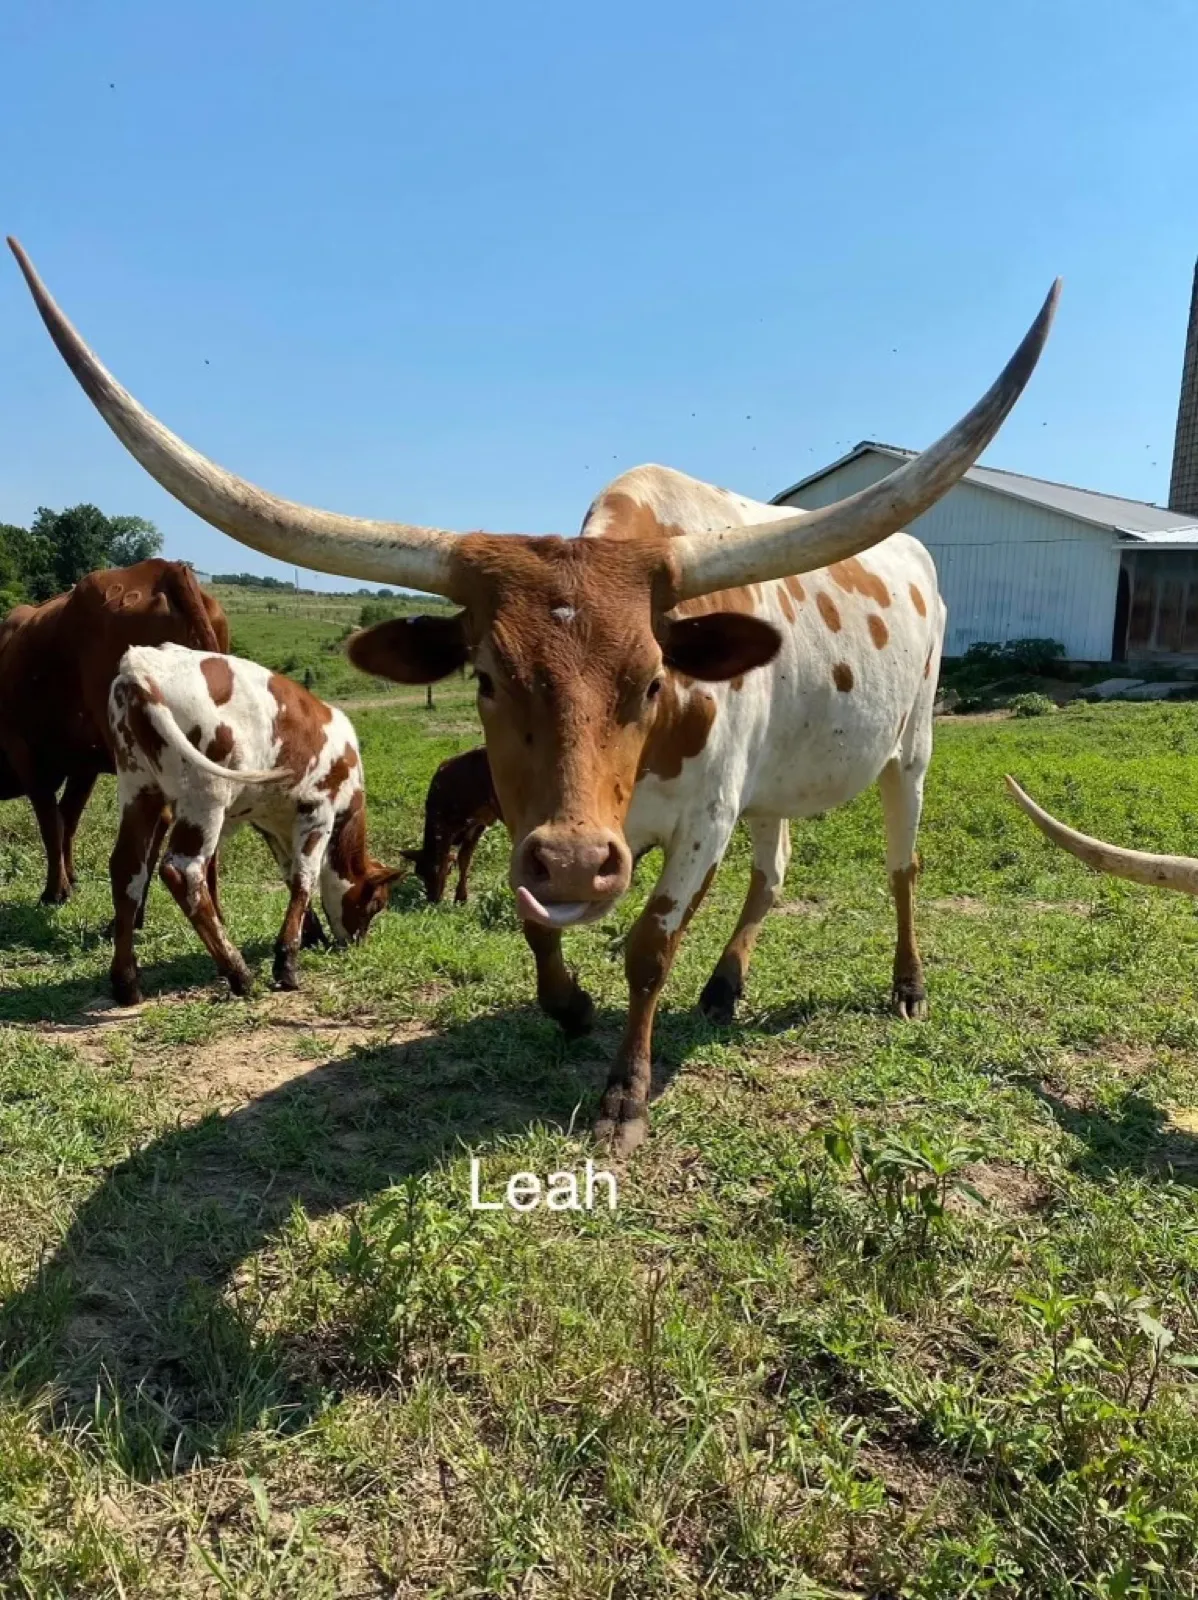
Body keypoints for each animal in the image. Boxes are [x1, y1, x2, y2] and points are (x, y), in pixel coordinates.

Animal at [0, 556, 228, 905]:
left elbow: (51, 822)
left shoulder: (22, 749)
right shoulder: (84, 764)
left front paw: (55, 890)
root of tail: (162, 568)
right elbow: (68, 817)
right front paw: (70, 878)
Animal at [107, 641, 401, 1004]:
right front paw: (287, 962)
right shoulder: (319, 812)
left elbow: (289, 873)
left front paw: (311, 933)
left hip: (138, 788)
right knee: (184, 871)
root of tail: (143, 661)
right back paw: (239, 973)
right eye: (375, 904)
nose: (357, 943)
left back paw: (126, 981)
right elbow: (305, 878)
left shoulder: (271, 823)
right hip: (205, 797)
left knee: (128, 868)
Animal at [405, 746, 501, 904]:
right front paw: (461, 897)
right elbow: (464, 858)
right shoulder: (477, 823)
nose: (432, 899)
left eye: (436, 871)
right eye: (419, 873)